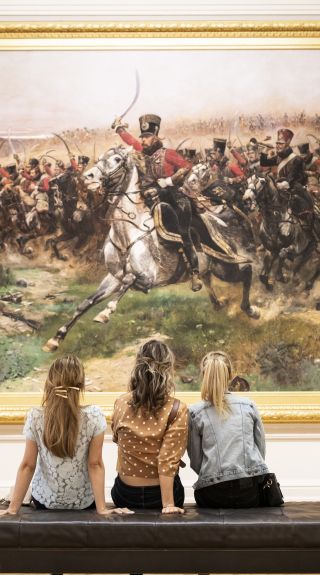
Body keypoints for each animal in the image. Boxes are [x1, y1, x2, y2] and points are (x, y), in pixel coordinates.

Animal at [43, 146, 260, 354]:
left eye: (117, 159)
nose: (88, 177)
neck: (128, 234)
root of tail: (220, 218)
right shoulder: (113, 278)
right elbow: (85, 303)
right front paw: (56, 338)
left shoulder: (147, 278)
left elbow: (128, 281)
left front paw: (105, 313)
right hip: (214, 267)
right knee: (209, 278)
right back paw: (214, 301)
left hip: (226, 266)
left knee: (247, 270)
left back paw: (250, 310)